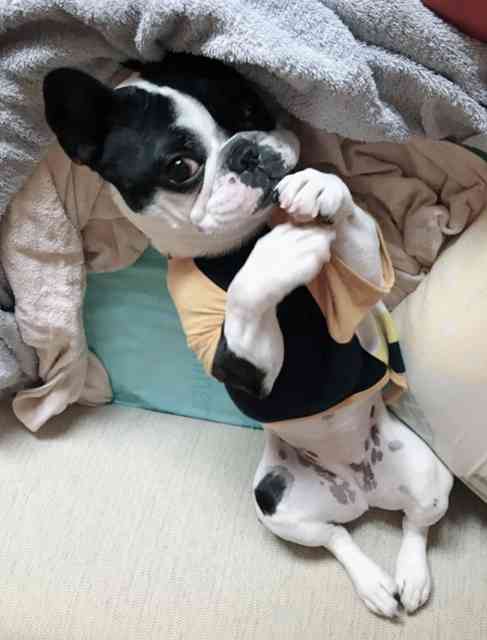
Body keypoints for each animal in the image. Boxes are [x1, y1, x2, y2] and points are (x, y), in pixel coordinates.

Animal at [43, 53, 453, 619]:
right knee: (337, 538)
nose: (249, 150)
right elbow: (243, 298)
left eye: (250, 109)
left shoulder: (356, 295)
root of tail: (361, 491)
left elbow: (357, 238)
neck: (242, 243)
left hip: (428, 476)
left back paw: (409, 577)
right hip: (276, 504)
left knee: (415, 523)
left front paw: (323, 187)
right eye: (180, 167)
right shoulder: (243, 370)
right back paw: (374, 582)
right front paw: (274, 260)